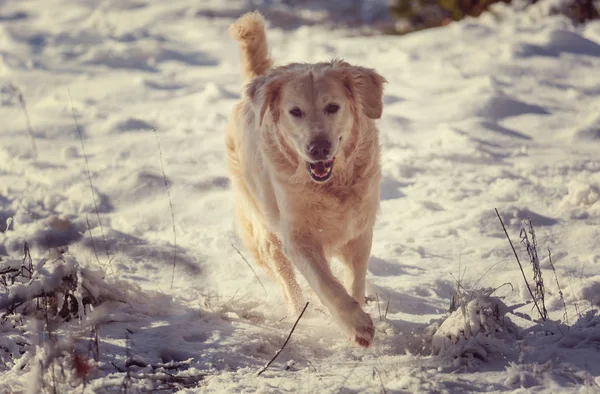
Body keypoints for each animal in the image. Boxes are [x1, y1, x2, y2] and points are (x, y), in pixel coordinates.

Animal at [225, 10, 384, 346]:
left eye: (333, 107)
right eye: (295, 111)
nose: (318, 147)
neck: (331, 186)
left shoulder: (360, 230)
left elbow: (355, 279)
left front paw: (359, 311)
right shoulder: (297, 237)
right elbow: (326, 283)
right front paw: (356, 324)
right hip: (265, 231)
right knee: (288, 281)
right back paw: (301, 314)